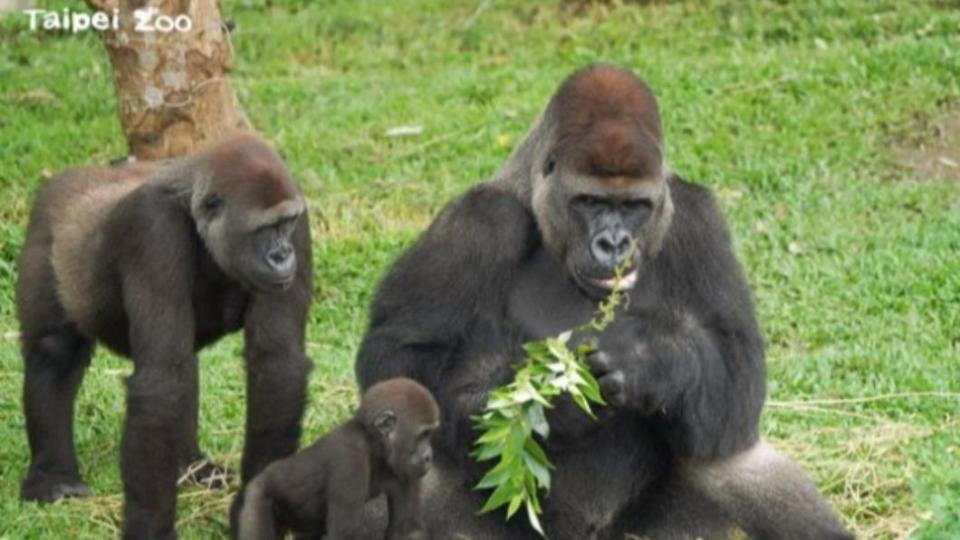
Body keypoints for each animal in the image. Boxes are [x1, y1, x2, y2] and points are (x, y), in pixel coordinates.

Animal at [16, 133, 314, 536]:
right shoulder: (152, 229)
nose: (283, 256)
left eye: (285, 224)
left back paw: (189, 466)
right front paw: (150, 527)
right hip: (47, 231)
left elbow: (277, 364)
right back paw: (53, 477)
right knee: (55, 354)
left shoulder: (300, 218)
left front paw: (255, 505)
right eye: (264, 229)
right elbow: (160, 386)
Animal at [236, 378, 438, 540]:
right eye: (423, 435)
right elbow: (345, 535)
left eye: (430, 434)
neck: (374, 444)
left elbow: (407, 532)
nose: (429, 456)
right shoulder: (349, 458)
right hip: (257, 494)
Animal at [356, 65, 852, 536]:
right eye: (590, 201)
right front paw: (552, 404)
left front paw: (651, 361)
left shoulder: (697, 219)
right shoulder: (478, 222)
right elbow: (399, 355)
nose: (613, 244)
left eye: (634, 205)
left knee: (729, 450)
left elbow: (737, 369)